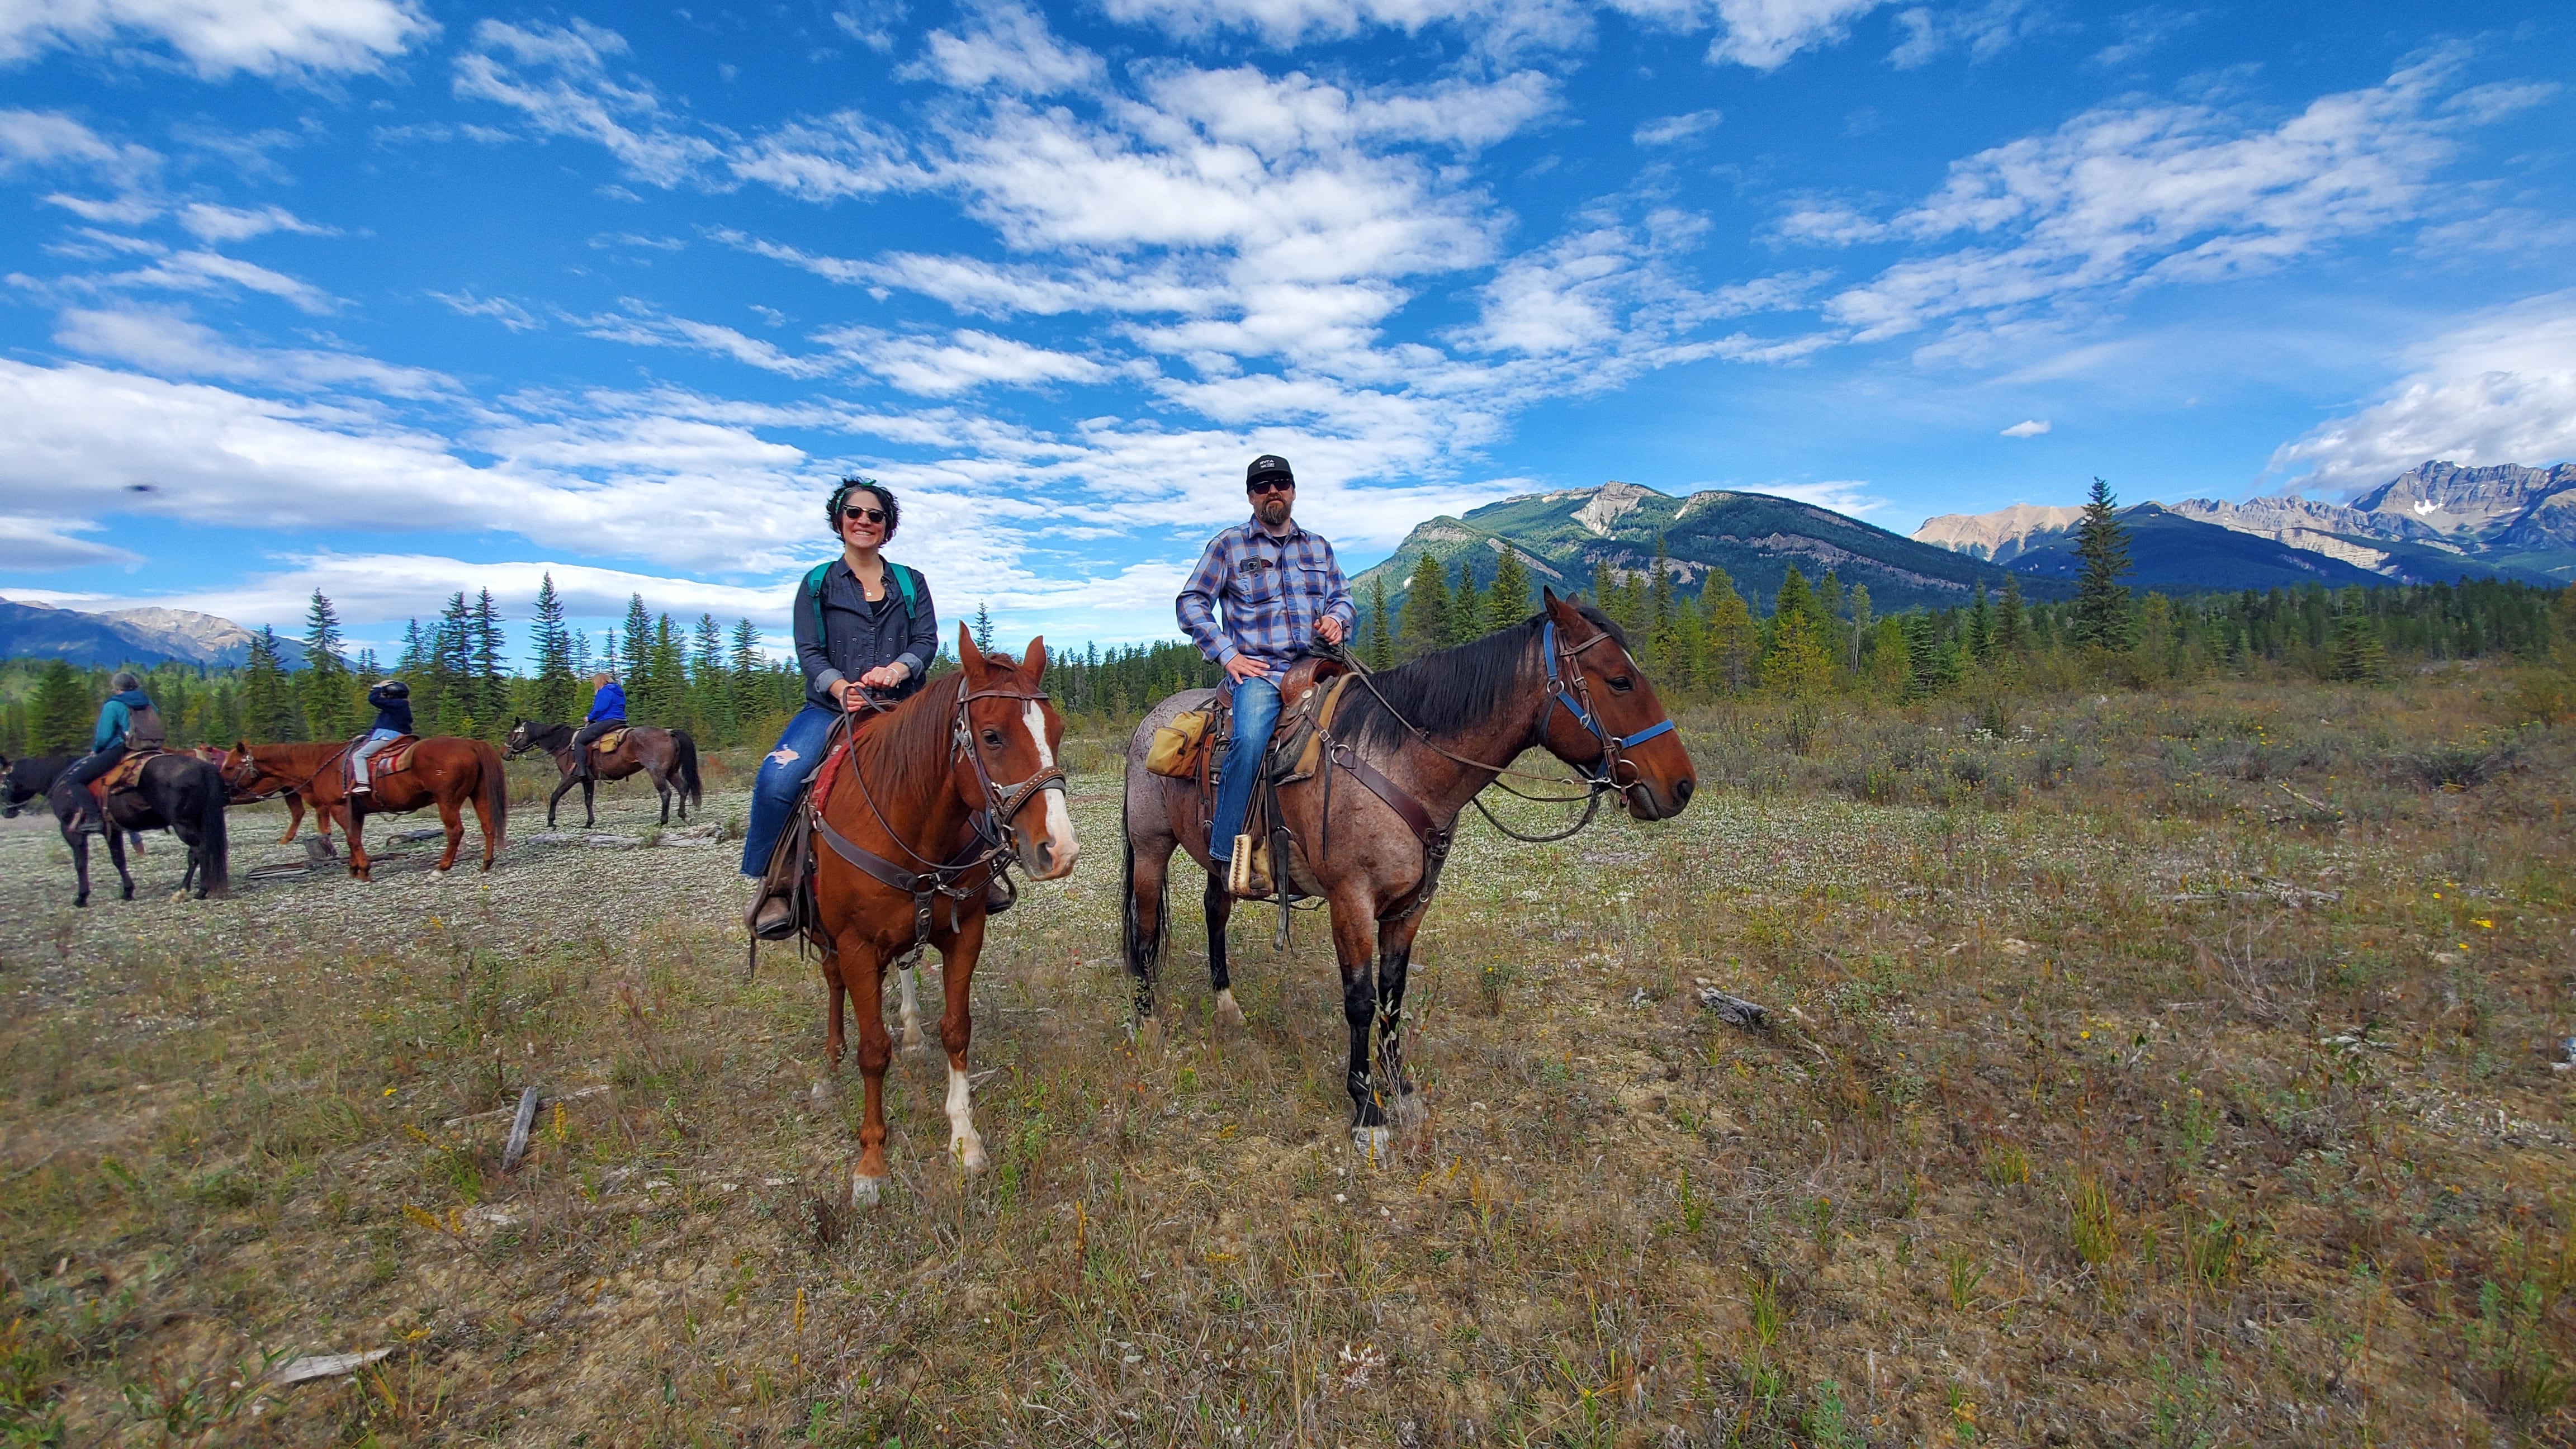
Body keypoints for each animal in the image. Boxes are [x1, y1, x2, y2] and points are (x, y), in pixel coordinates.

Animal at [0, 742, 231, 902]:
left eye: (3, 782)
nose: (6, 812)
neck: (60, 781)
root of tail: (204, 768)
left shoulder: (71, 830)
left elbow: (80, 863)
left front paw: (82, 897)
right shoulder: (112, 830)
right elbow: (118, 859)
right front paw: (128, 891)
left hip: (183, 824)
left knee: (200, 850)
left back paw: (195, 890)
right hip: (195, 821)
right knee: (200, 852)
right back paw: (190, 889)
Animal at [224, 732, 510, 882]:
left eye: (228, 765)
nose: (226, 792)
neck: (323, 764)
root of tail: (472, 744)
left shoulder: (339, 807)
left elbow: (352, 838)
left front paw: (363, 870)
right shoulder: (355, 811)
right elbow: (354, 837)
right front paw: (355, 868)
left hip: (447, 801)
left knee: (455, 831)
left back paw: (442, 867)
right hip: (479, 794)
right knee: (488, 826)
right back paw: (486, 863)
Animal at [499, 711, 705, 825]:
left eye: (512, 734)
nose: (504, 753)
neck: (564, 744)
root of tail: (669, 733)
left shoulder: (570, 777)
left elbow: (555, 796)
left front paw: (551, 822)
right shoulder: (587, 779)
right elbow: (588, 801)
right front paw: (589, 823)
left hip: (657, 773)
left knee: (666, 794)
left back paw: (663, 820)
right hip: (671, 772)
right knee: (683, 789)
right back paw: (683, 815)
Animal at [793, 626, 1077, 1201]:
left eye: (1057, 730)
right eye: (991, 737)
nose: (1060, 850)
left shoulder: (965, 933)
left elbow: (956, 1029)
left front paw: (965, 1139)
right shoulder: (855, 943)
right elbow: (872, 1050)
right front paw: (871, 1162)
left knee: (903, 967)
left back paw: (911, 1031)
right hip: (828, 933)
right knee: (834, 983)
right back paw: (830, 1069)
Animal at [1123, 588, 1689, 1149]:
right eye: (1620, 681)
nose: (1682, 786)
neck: (1403, 764)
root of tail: (1150, 722)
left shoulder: (1413, 903)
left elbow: (1393, 993)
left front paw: (1398, 1086)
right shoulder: (1352, 901)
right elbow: (1360, 1000)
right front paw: (1365, 1107)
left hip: (1219, 860)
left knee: (1214, 911)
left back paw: (1227, 1006)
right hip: (1151, 849)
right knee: (1146, 933)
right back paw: (1148, 1025)